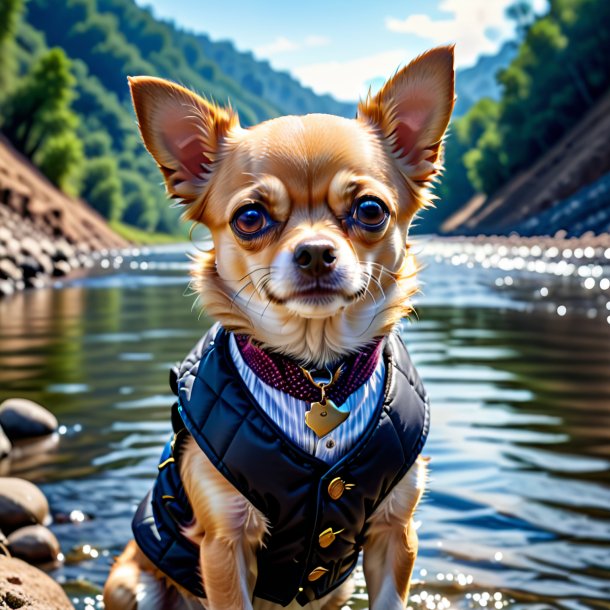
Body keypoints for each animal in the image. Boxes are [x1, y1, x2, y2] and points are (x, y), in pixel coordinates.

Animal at [103, 45, 452, 604]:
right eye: (250, 218)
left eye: (370, 210)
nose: (314, 252)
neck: (317, 375)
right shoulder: (223, 547)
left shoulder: (395, 532)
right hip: (132, 584)